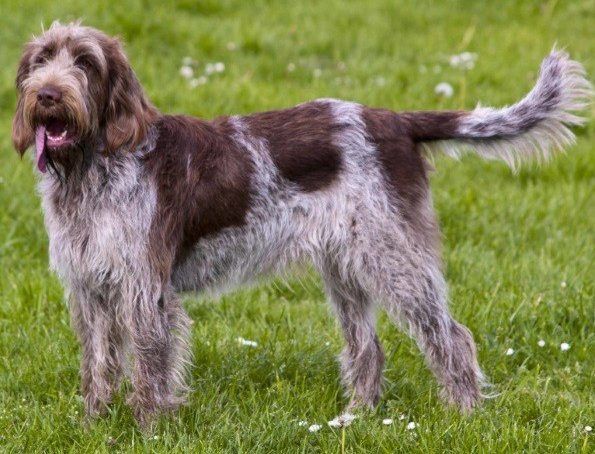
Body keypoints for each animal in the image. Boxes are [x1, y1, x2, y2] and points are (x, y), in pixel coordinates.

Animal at [11, 21, 592, 426]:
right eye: (40, 60)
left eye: (86, 63)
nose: (48, 94)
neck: (92, 167)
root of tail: (395, 120)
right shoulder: (90, 288)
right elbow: (98, 364)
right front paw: (94, 422)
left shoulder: (143, 291)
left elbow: (151, 368)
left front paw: (149, 428)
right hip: (347, 267)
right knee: (369, 348)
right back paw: (357, 418)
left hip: (394, 260)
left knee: (452, 337)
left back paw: (465, 415)